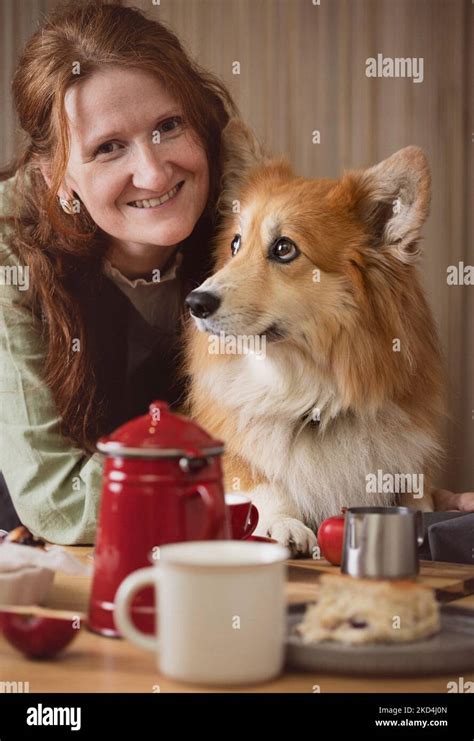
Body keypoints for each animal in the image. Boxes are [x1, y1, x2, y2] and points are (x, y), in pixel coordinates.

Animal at [183, 118, 446, 552]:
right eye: (236, 244)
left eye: (284, 248)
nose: (195, 302)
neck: (310, 397)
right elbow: (262, 483)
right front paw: (283, 522)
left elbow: (418, 498)